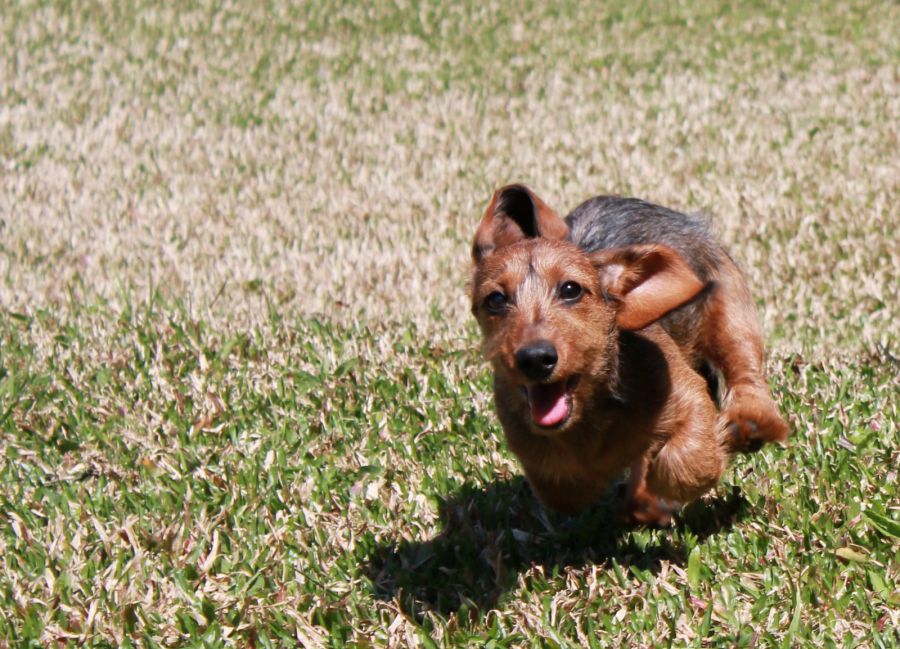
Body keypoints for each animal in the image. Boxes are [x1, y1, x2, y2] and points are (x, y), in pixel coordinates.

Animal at [472, 184, 788, 528]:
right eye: (495, 300)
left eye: (570, 289)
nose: (535, 358)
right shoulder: (544, 465)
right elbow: (567, 485)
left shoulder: (689, 396)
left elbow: (687, 462)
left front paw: (658, 491)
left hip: (731, 313)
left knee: (744, 372)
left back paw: (749, 425)